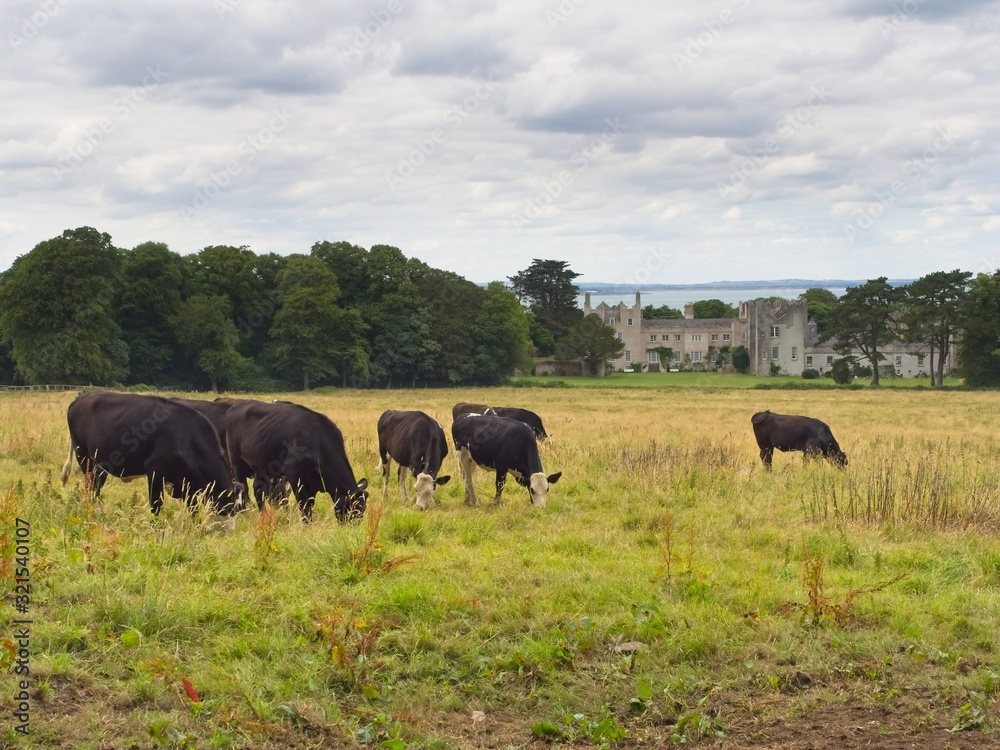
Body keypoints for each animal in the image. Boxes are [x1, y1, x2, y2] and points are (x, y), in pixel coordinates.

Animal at [60, 390, 236, 520]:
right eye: (227, 508)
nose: (228, 533)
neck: (186, 435)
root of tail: (83, 395)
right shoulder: (155, 470)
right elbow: (156, 504)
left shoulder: (187, 481)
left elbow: (192, 506)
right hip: (84, 456)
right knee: (91, 487)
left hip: (99, 465)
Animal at [225, 400, 370, 524]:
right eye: (352, 508)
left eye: (362, 510)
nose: (352, 528)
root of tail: (237, 404)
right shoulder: (295, 476)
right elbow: (304, 505)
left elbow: (309, 504)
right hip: (237, 462)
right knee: (244, 488)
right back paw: (244, 512)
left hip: (261, 467)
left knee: (258, 490)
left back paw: (263, 514)